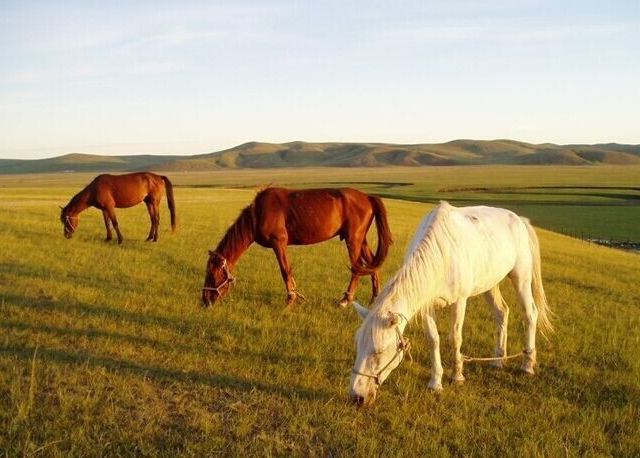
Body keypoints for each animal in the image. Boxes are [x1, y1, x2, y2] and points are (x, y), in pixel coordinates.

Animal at [202, 186, 392, 308]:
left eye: (212, 274)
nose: (205, 300)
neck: (258, 214)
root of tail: (367, 197)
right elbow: (288, 271)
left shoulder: (278, 243)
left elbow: (285, 270)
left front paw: (290, 299)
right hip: (361, 240)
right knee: (372, 265)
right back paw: (375, 299)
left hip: (354, 240)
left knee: (357, 268)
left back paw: (345, 300)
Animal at [348, 202, 552, 406]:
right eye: (357, 346)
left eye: (378, 352)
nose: (357, 397)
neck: (443, 254)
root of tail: (519, 220)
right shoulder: (427, 305)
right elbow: (433, 339)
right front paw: (435, 382)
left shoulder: (460, 301)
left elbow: (455, 338)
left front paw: (457, 376)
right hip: (490, 284)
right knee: (502, 313)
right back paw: (498, 360)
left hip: (521, 278)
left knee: (530, 315)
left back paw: (527, 364)